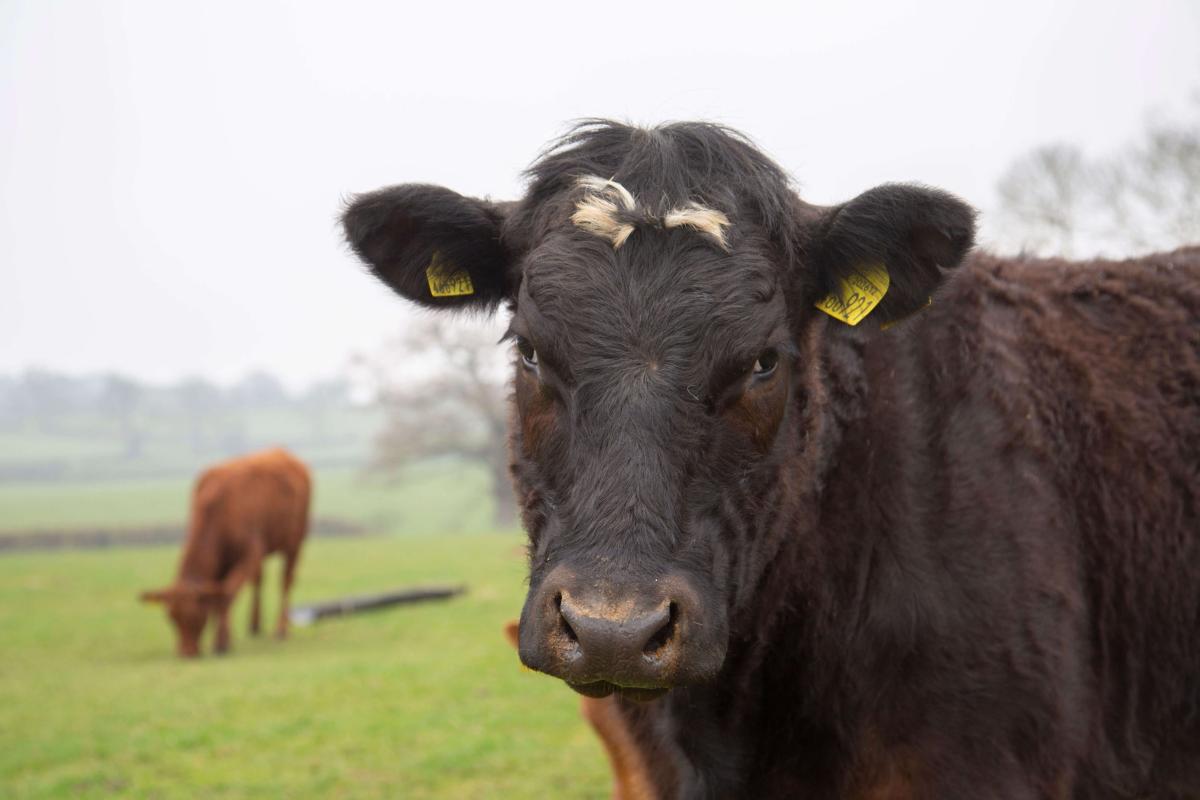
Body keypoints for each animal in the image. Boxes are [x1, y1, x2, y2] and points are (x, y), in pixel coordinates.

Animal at [141, 447, 310, 657]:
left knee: (285, 582)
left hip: (294, 544)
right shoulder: (222, 563)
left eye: (197, 616)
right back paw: (254, 626)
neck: (219, 509)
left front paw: (221, 642)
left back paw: (281, 629)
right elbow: (218, 594)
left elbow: (225, 596)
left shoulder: (249, 555)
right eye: (172, 617)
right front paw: (227, 637)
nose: (186, 653)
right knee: (259, 580)